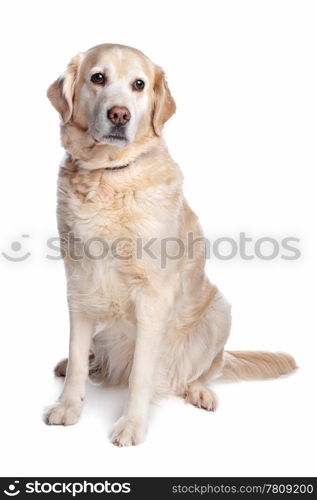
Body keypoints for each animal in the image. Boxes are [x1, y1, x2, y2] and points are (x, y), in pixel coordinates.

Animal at [45, 45, 296, 448]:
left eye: (139, 84)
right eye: (98, 77)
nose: (119, 115)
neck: (109, 175)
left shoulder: (152, 297)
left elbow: (141, 376)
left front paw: (132, 425)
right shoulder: (79, 284)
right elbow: (78, 354)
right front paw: (68, 405)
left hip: (219, 312)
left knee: (204, 370)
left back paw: (199, 391)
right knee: (92, 356)